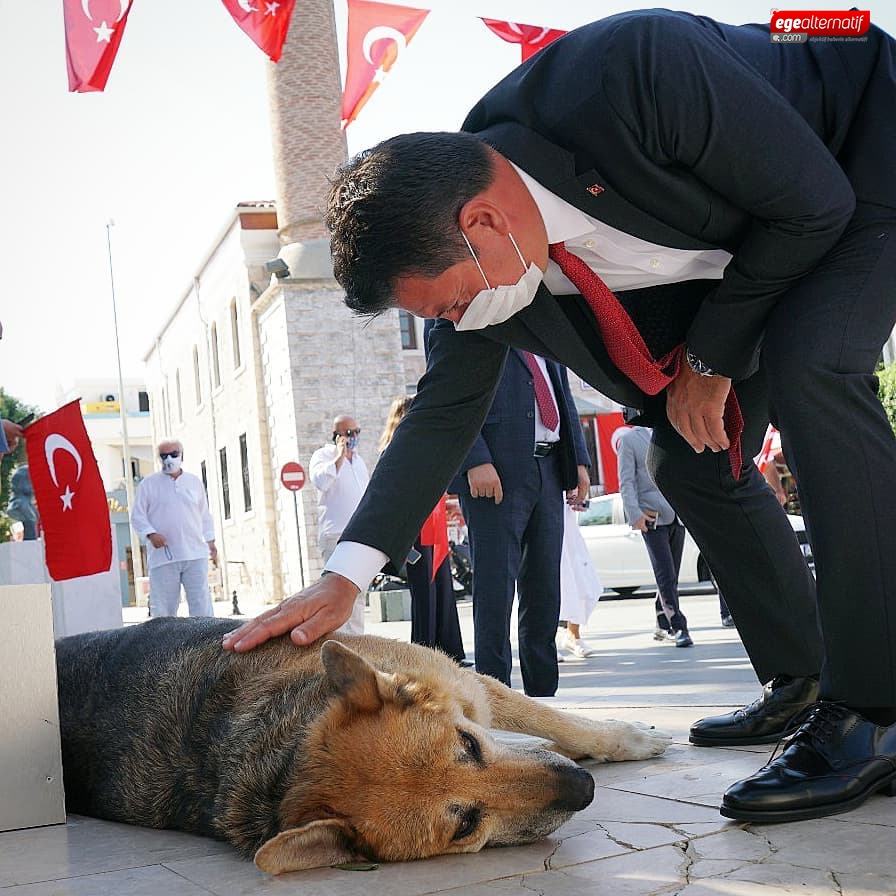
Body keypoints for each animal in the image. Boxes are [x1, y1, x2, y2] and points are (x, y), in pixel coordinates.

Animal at [56, 616, 668, 876]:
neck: (285, 749)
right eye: (465, 824)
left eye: (469, 746)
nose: (584, 789)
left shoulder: (466, 686)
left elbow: (556, 720)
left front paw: (621, 737)